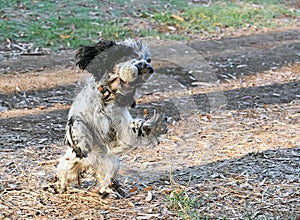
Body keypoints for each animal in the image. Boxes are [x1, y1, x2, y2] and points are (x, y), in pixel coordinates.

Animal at [55, 38, 168, 198]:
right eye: (130, 55)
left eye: (148, 60)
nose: (148, 67)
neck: (106, 100)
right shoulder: (78, 114)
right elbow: (77, 123)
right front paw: (82, 142)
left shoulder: (121, 131)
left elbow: (136, 128)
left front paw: (152, 126)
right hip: (70, 161)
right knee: (63, 173)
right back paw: (58, 186)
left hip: (110, 163)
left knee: (105, 179)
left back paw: (108, 191)